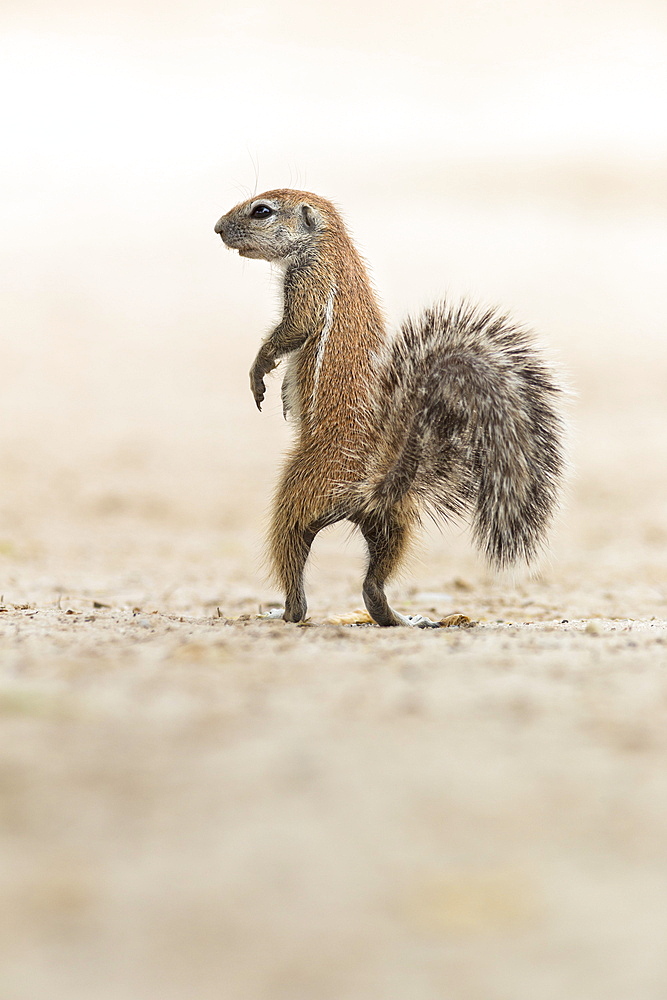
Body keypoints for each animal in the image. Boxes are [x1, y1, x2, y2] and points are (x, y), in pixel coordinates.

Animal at [213, 189, 564, 624]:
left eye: (262, 210)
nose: (217, 228)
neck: (330, 245)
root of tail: (371, 484)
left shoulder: (308, 282)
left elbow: (292, 330)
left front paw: (260, 374)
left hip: (295, 494)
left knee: (293, 558)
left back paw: (284, 612)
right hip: (393, 523)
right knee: (373, 582)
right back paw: (401, 618)